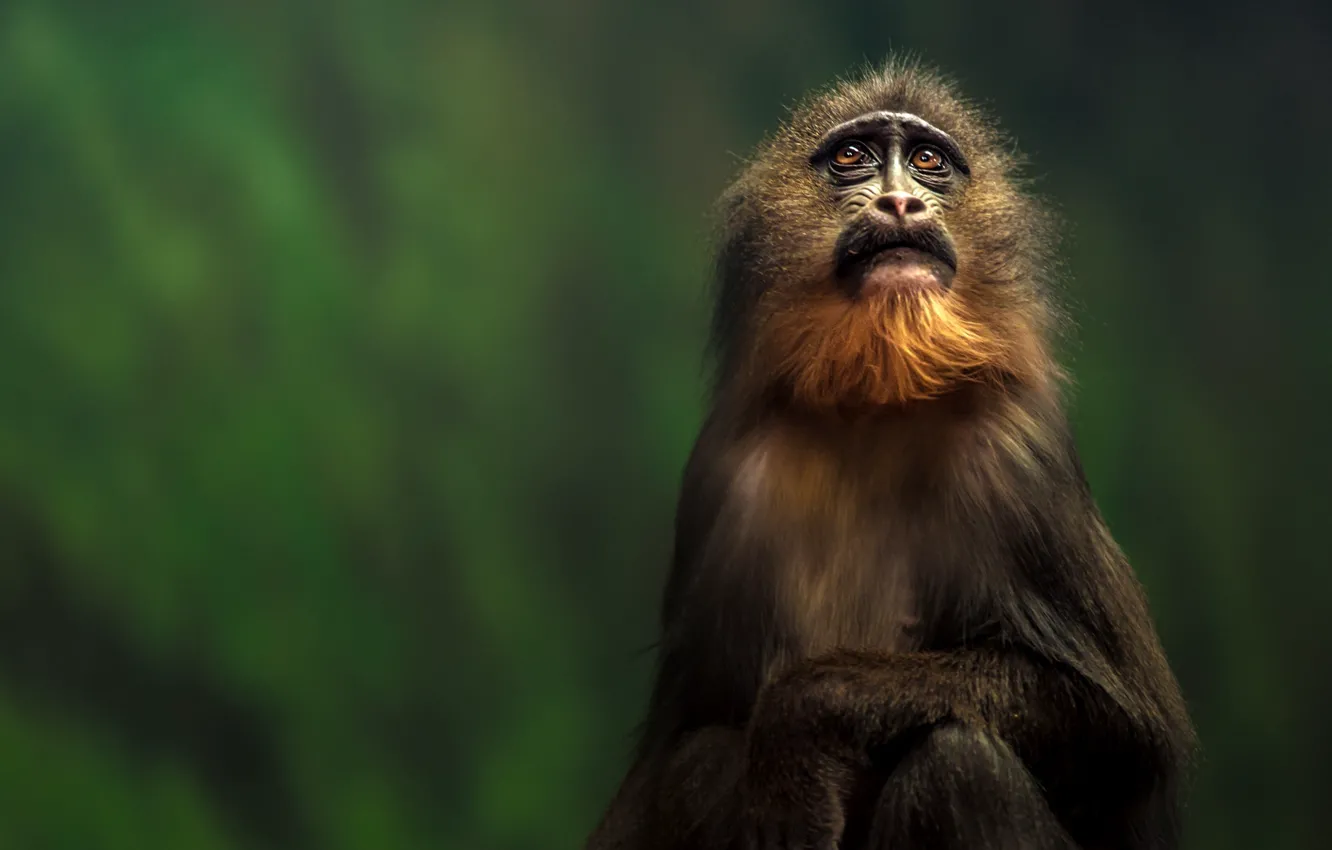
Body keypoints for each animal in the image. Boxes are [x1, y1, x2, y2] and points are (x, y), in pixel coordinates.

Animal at [588, 61, 1195, 850]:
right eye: (854, 157)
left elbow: (1121, 721)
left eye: (930, 161)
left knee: (958, 761)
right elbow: (677, 744)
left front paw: (801, 726)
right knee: (702, 762)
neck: (873, 403)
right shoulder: (720, 471)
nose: (901, 202)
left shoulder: (1017, 454)